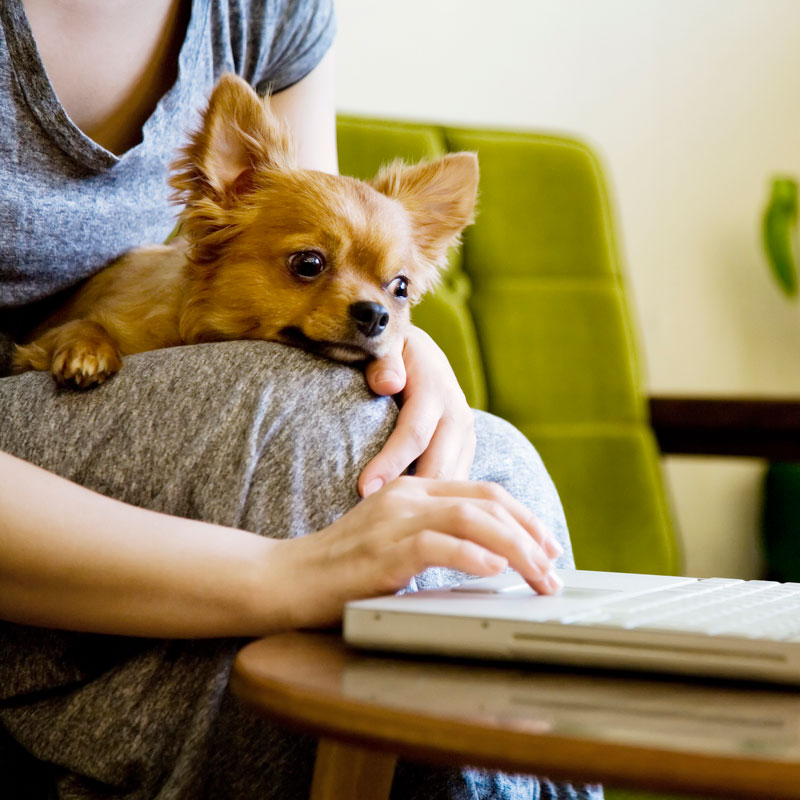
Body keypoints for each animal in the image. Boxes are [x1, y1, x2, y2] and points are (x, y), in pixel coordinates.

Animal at [12, 75, 478, 388]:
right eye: (309, 264)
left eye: (400, 288)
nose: (377, 314)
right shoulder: (41, 341)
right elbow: (79, 327)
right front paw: (86, 350)